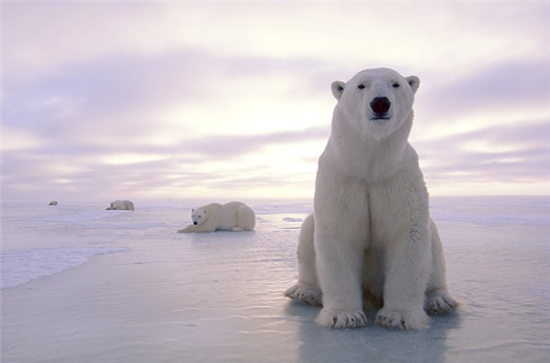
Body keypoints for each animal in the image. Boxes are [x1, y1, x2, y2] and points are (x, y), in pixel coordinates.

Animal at [284, 67, 458, 330]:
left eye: (396, 84)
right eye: (361, 85)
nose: (380, 103)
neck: (371, 168)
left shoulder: (398, 181)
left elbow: (407, 233)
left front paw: (397, 317)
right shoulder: (343, 180)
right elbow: (339, 235)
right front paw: (345, 316)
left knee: (434, 242)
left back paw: (440, 300)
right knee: (307, 231)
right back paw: (305, 292)